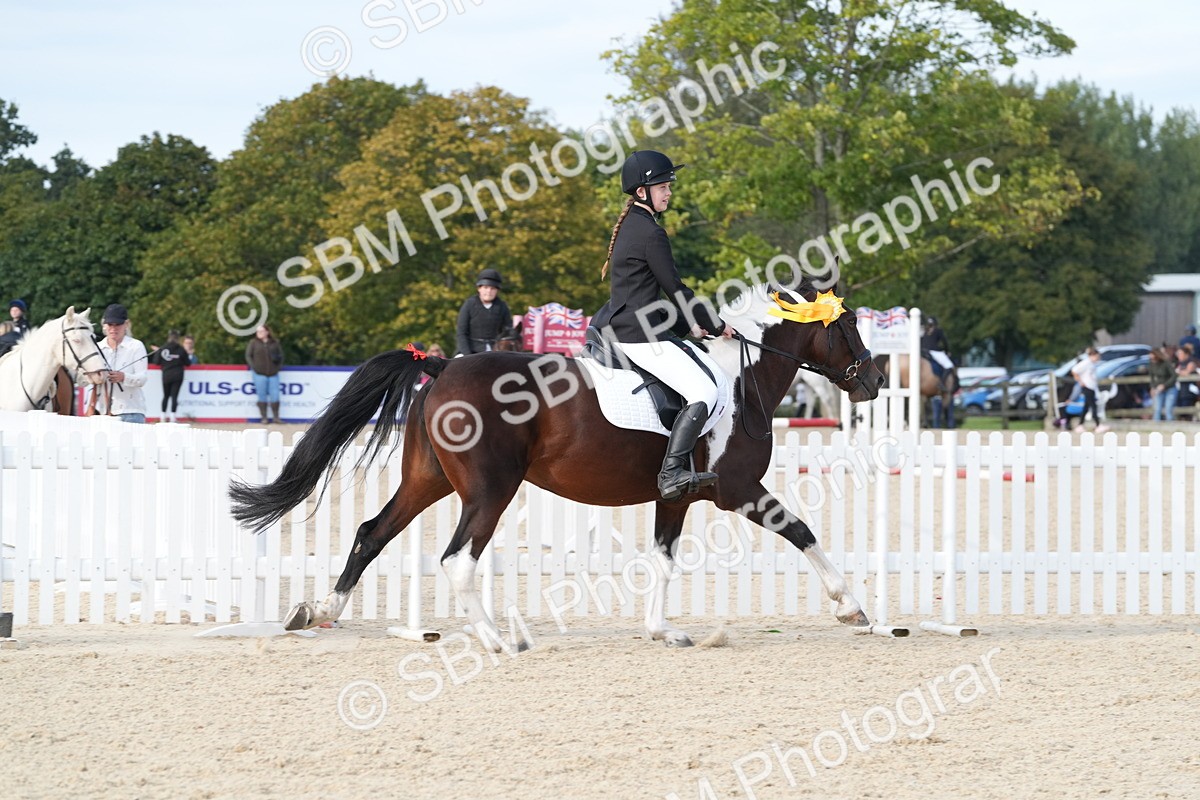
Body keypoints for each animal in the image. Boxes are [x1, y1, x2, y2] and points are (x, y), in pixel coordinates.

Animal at [229, 284, 885, 649]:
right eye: (849, 325)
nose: (875, 382)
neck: (739, 378)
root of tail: (441, 366)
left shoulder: (673, 495)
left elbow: (663, 560)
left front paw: (663, 631)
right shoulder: (738, 488)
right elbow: (802, 531)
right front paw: (852, 607)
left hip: (427, 481)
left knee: (372, 534)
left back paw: (320, 612)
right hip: (489, 491)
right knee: (458, 559)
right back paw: (495, 640)